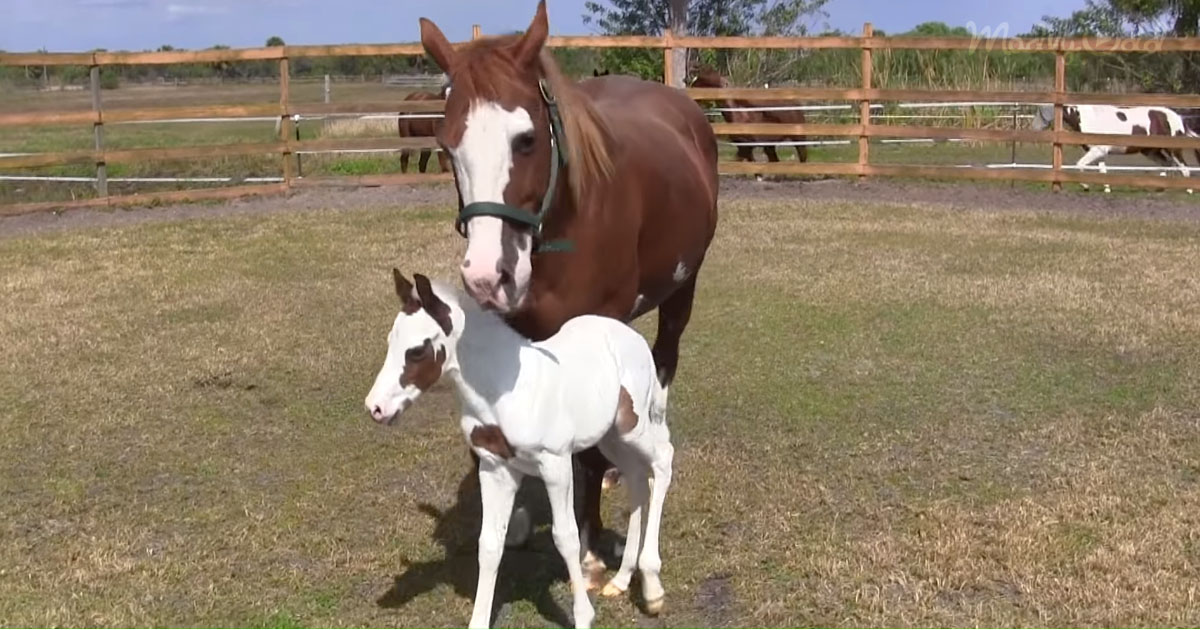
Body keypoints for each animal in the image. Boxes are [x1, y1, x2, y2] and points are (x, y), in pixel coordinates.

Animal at [362, 271, 676, 628]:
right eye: (391, 341)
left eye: (416, 351)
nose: (375, 408)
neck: (503, 392)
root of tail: (631, 336)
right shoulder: (495, 468)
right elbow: (489, 543)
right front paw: (479, 620)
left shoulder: (555, 465)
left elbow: (566, 537)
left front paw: (583, 616)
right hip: (611, 436)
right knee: (637, 479)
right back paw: (622, 579)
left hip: (633, 427)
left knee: (662, 460)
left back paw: (652, 588)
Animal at [1032, 104, 1200, 193]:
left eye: (1039, 113)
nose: (1033, 128)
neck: (1089, 118)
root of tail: (1178, 118)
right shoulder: (1099, 153)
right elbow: (1103, 171)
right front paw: (1107, 188)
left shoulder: (1097, 151)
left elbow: (1079, 164)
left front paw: (1086, 186)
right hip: (1151, 151)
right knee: (1166, 164)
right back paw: (1160, 188)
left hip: (1174, 149)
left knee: (1184, 168)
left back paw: (1189, 190)